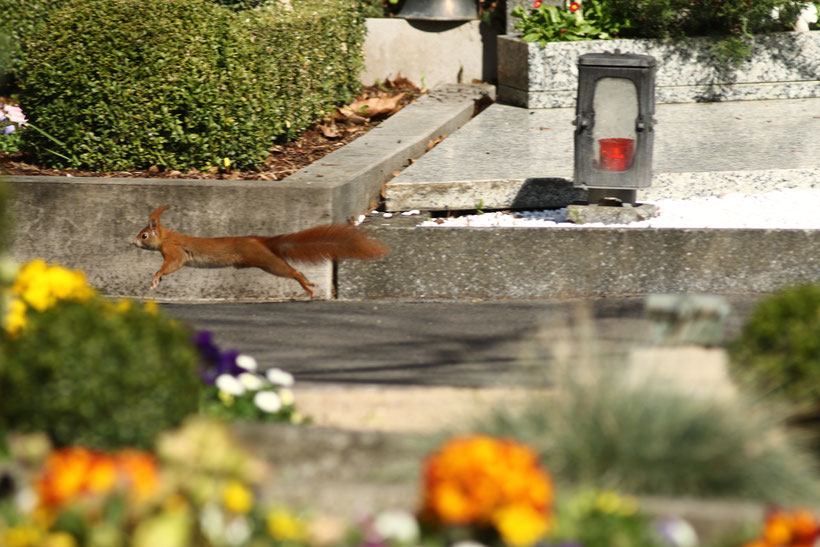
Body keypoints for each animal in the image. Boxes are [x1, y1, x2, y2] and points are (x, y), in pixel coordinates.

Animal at [133, 207, 390, 300]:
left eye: (144, 235)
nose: (133, 242)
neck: (166, 237)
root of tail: (261, 240)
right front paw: (158, 280)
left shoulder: (174, 252)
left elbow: (171, 264)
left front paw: (156, 277)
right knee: (294, 269)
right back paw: (309, 283)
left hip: (265, 261)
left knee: (292, 272)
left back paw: (306, 287)